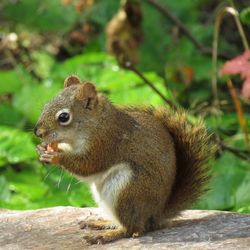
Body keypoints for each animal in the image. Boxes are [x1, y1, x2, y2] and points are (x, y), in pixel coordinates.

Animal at [34, 74, 215, 244]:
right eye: (45, 105)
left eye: (64, 117)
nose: (37, 132)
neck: (96, 123)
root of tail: (155, 215)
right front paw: (42, 149)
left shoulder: (105, 144)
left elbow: (87, 166)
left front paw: (55, 156)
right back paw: (102, 223)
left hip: (126, 191)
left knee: (132, 229)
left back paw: (107, 235)